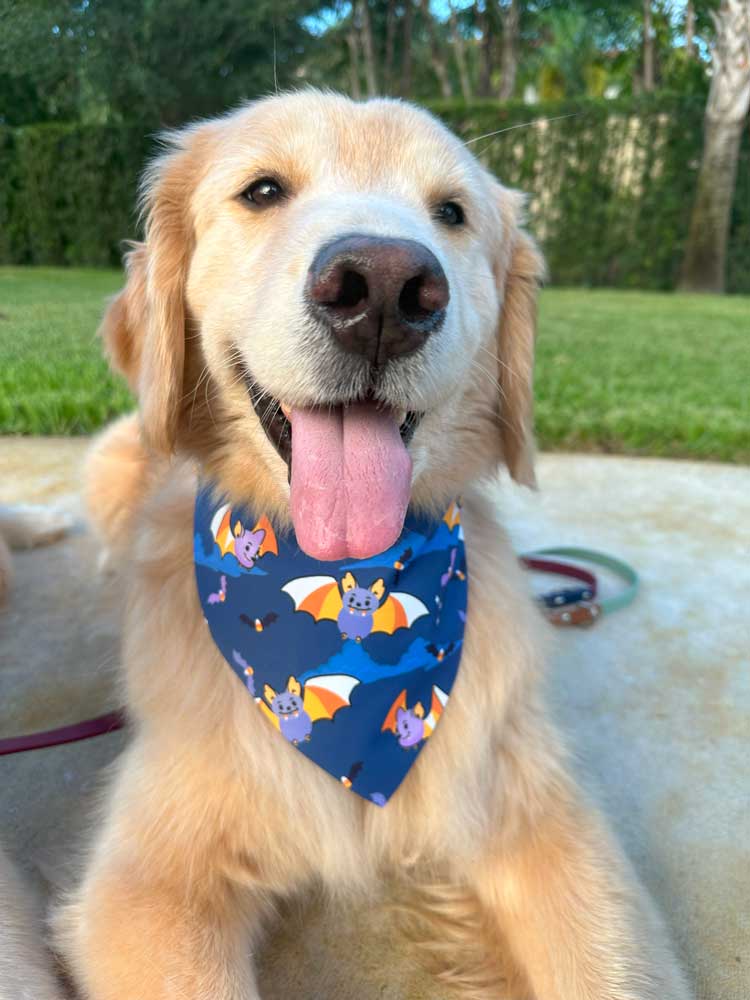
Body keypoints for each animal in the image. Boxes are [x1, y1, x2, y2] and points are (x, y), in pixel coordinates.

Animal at [51, 94, 692, 1000]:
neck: (346, 568)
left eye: (452, 212)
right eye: (262, 189)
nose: (385, 287)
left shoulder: (545, 824)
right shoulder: (146, 886)